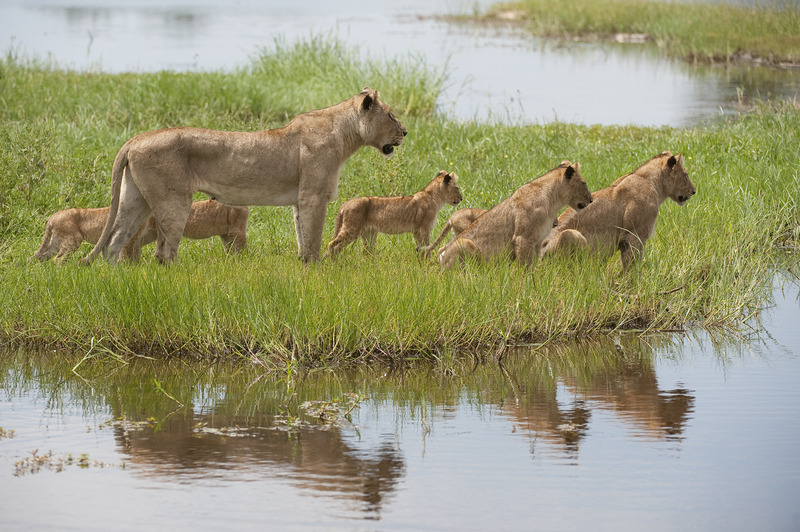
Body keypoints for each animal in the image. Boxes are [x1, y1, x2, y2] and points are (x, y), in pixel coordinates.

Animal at [34, 200, 248, 263]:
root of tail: (52, 217)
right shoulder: (237, 231)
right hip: (71, 240)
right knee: (58, 259)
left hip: (56, 243)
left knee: (45, 255)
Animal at [84, 87, 406, 265]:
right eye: (391, 115)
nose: (405, 132)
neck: (345, 133)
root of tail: (134, 139)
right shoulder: (314, 195)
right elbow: (314, 237)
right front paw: (317, 269)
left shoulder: (300, 200)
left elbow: (302, 236)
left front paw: (304, 266)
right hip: (172, 200)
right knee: (164, 252)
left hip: (134, 199)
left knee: (114, 241)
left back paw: (112, 277)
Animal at [325, 170, 462, 257]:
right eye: (457, 188)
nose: (461, 198)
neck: (433, 196)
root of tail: (344, 205)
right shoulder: (423, 228)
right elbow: (426, 246)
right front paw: (426, 261)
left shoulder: (417, 230)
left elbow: (420, 246)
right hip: (352, 229)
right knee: (332, 244)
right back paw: (333, 264)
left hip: (368, 232)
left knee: (365, 251)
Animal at [439, 161, 592, 270]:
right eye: (584, 183)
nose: (591, 200)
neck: (553, 202)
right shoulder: (522, 238)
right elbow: (525, 268)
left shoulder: (537, 242)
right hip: (463, 243)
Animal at [541, 151, 695, 270]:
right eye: (686, 175)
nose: (694, 191)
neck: (653, 183)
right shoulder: (634, 236)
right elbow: (631, 266)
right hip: (571, 235)